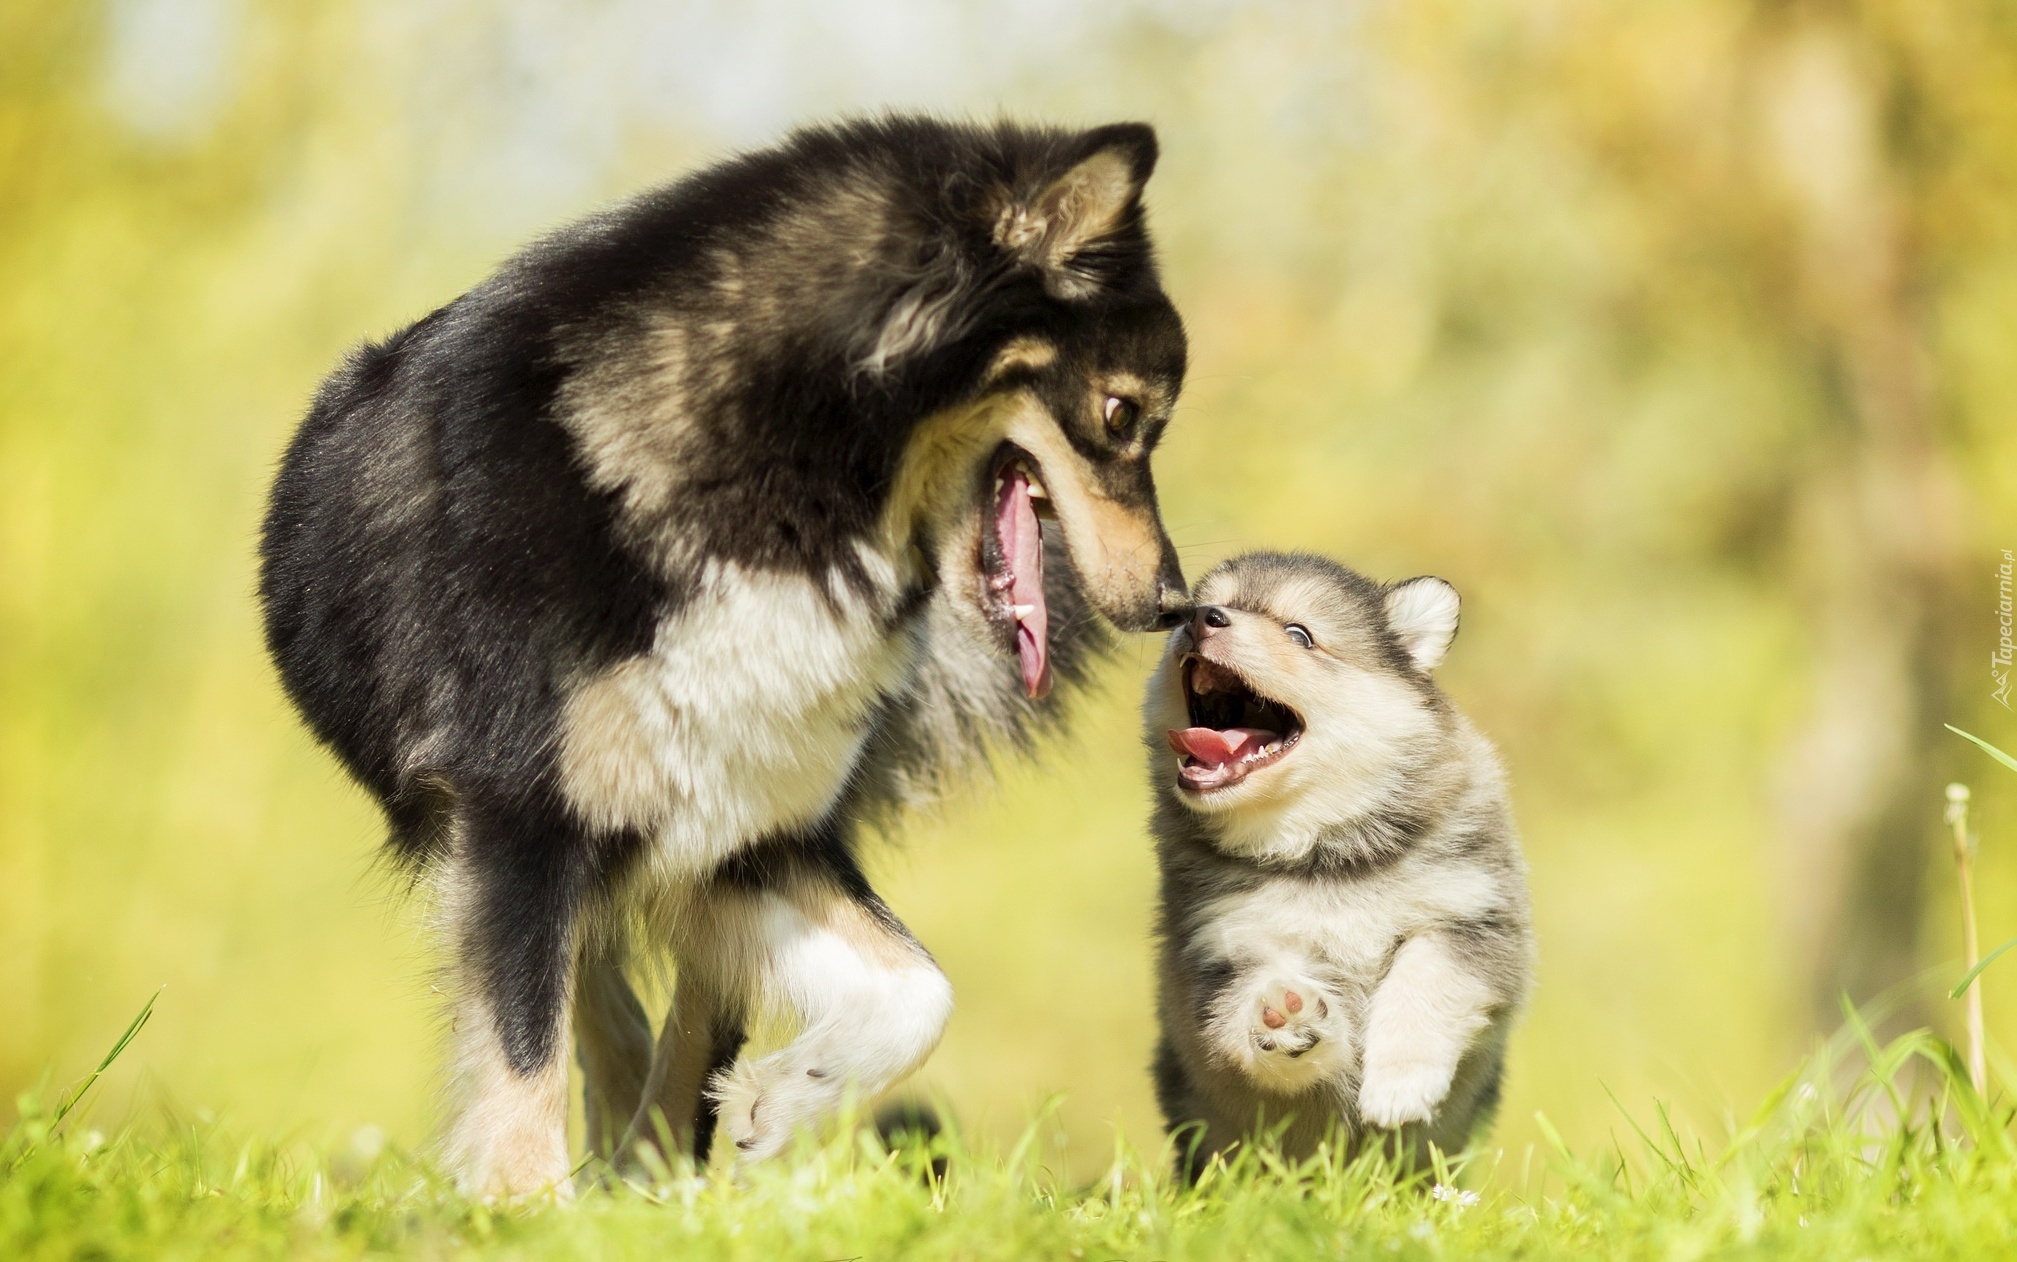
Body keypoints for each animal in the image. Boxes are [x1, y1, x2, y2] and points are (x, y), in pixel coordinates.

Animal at [260, 115, 1185, 1185]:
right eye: (1122, 415)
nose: (1174, 601)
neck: (782, 482)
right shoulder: (517, 817)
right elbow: (522, 1052)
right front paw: (523, 1201)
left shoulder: (749, 825)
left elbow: (916, 991)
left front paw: (776, 1103)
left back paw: (654, 1170)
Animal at [1153, 548, 1524, 1169]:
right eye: (1197, 608)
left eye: (1300, 634)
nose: (1201, 618)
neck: (1324, 853)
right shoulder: (1221, 948)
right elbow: (1239, 1021)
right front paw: (1284, 1021)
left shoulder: (1470, 913)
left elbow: (1425, 982)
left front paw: (1399, 1086)